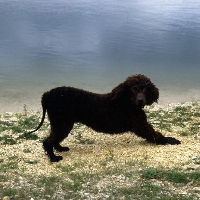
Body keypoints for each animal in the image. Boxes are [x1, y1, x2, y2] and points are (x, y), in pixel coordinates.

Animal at [28, 74, 180, 162]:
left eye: (146, 89)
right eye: (133, 89)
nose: (140, 100)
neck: (125, 102)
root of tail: (49, 93)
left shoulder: (141, 124)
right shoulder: (141, 126)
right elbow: (156, 135)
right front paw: (171, 140)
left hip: (60, 123)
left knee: (54, 138)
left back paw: (59, 149)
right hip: (62, 122)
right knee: (48, 141)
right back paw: (53, 158)